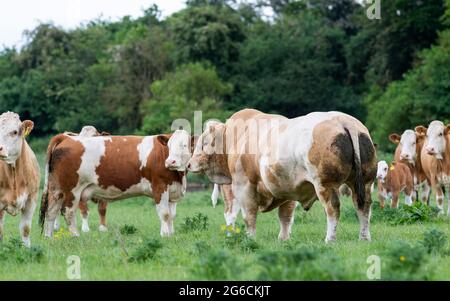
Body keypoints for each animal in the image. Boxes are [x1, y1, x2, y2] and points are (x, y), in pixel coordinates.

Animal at [39, 127, 192, 236]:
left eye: (185, 145)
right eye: (169, 146)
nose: (171, 161)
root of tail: (67, 138)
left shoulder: (173, 190)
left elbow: (171, 215)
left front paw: (171, 234)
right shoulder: (160, 187)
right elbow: (164, 214)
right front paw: (165, 235)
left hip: (57, 190)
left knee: (51, 212)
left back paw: (49, 237)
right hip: (72, 190)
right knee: (68, 212)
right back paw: (76, 236)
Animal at [186, 108, 376, 241]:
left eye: (203, 143)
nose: (189, 164)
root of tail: (343, 120)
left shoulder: (244, 185)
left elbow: (249, 215)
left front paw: (250, 238)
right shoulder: (289, 188)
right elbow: (286, 216)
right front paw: (283, 239)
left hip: (325, 185)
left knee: (333, 210)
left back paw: (330, 239)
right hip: (364, 183)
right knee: (363, 207)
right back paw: (364, 238)